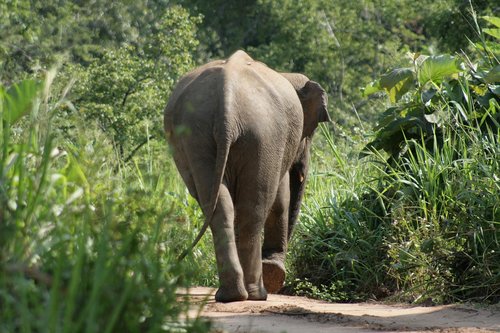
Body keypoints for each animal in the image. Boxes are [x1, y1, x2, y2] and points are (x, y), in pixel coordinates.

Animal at [163, 50, 328, 300]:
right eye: (308, 134)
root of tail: (227, 103)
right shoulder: (278, 146)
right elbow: (281, 198)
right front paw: (273, 271)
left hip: (199, 134)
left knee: (221, 206)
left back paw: (232, 295)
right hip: (263, 134)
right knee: (255, 207)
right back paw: (258, 292)